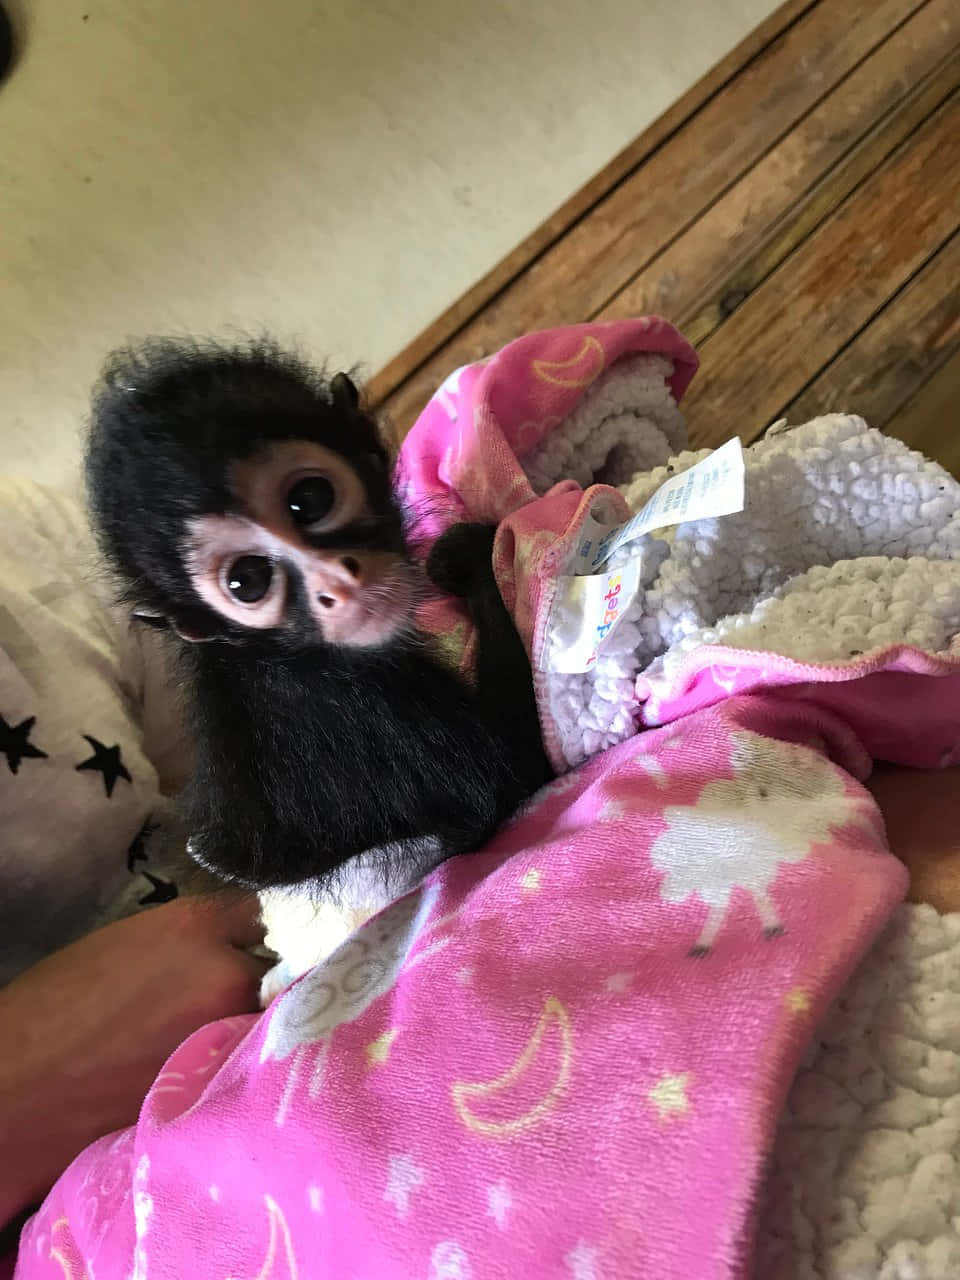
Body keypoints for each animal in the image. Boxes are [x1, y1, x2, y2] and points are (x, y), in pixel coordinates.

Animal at [84, 338, 553, 904]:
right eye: (246, 581)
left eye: (309, 500)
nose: (337, 584)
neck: (269, 654)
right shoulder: (355, 705)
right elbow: (520, 773)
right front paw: (468, 552)